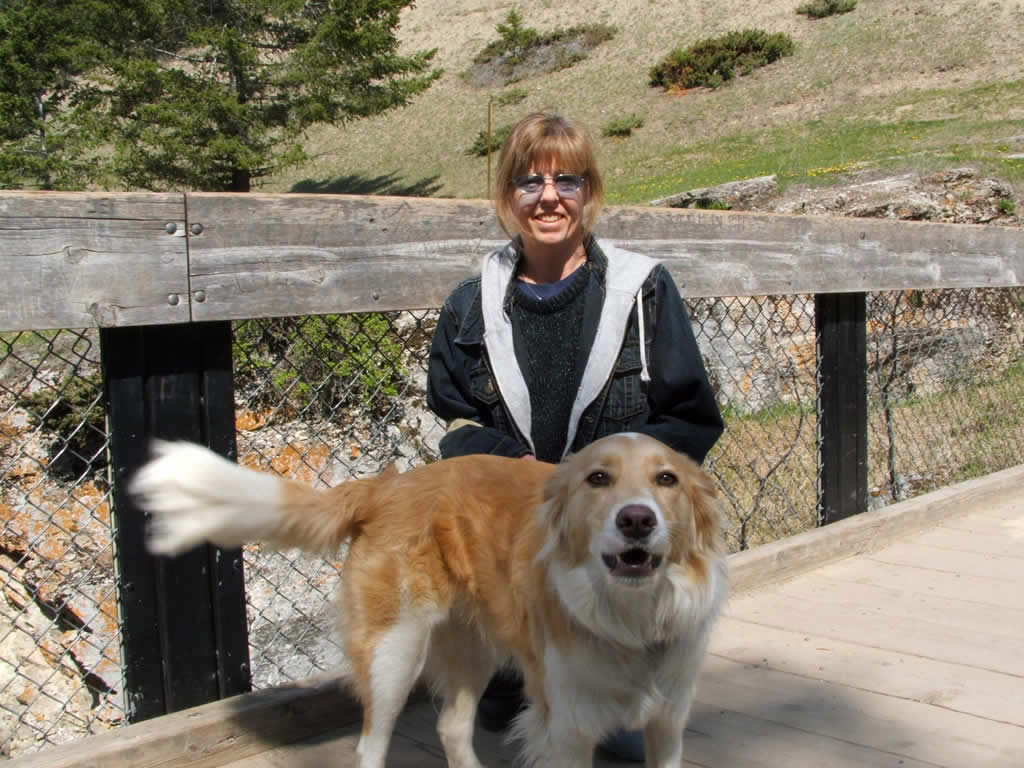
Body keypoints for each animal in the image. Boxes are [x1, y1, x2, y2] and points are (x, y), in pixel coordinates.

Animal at [132, 434, 724, 768]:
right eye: (598, 478)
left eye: (666, 479)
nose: (636, 519)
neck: (632, 619)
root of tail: (385, 487)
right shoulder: (568, 729)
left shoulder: (668, 722)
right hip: (394, 653)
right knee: (370, 746)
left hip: (472, 651)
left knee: (451, 728)